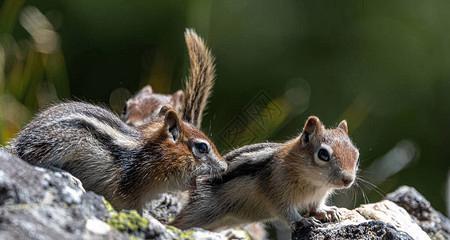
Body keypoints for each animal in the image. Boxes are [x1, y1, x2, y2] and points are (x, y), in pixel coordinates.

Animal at [5, 103, 227, 210]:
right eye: (202, 148)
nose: (224, 166)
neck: (151, 155)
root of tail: (18, 142)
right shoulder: (128, 191)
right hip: (60, 141)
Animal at [171, 117, 358, 230]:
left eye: (356, 154)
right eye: (323, 154)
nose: (348, 180)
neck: (314, 183)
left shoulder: (318, 196)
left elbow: (316, 206)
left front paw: (328, 211)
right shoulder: (275, 190)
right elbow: (286, 211)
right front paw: (302, 220)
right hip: (201, 208)